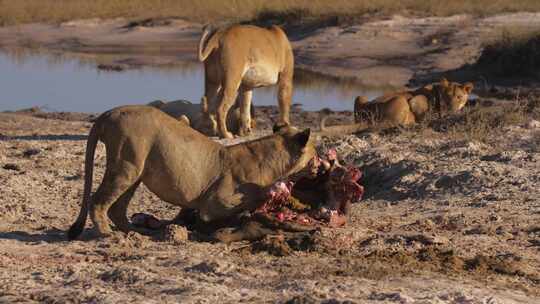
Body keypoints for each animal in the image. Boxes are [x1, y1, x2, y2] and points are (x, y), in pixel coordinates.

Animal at [66, 105, 316, 239]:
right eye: (315, 154)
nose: (321, 163)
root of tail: (109, 112)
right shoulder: (214, 203)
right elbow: (243, 205)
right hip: (126, 166)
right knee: (98, 201)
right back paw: (107, 234)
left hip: (135, 171)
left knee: (117, 209)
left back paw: (137, 233)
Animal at [318, 78, 474, 134]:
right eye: (447, 96)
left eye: (459, 97)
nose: (451, 109)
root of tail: (370, 119)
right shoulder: (415, 100)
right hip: (400, 100)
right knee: (390, 124)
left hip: (360, 97)